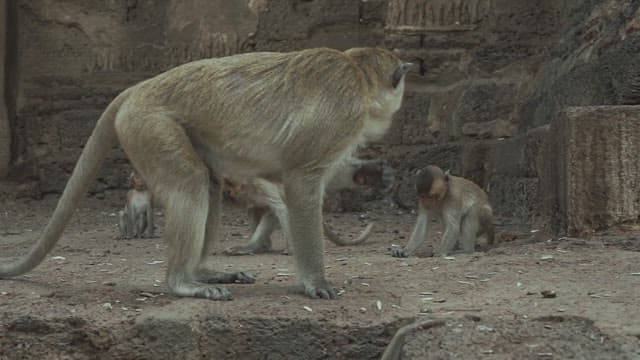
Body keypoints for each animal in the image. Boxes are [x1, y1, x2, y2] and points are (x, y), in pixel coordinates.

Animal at [0, 47, 410, 300]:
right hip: (150, 127)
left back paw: (202, 271)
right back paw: (183, 282)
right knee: (191, 184)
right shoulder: (339, 120)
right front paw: (315, 281)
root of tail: (136, 89)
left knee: (209, 186)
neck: (357, 75)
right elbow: (301, 185)